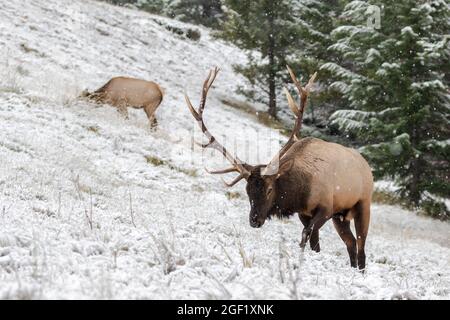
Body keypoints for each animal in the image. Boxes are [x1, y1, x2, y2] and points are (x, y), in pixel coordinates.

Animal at [185, 67, 374, 270]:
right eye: (247, 190)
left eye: (269, 189)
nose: (254, 220)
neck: (300, 192)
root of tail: (366, 165)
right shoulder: (304, 213)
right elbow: (314, 244)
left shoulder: (326, 207)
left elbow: (305, 235)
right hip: (341, 216)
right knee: (351, 243)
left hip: (363, 204)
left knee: (361, 245)